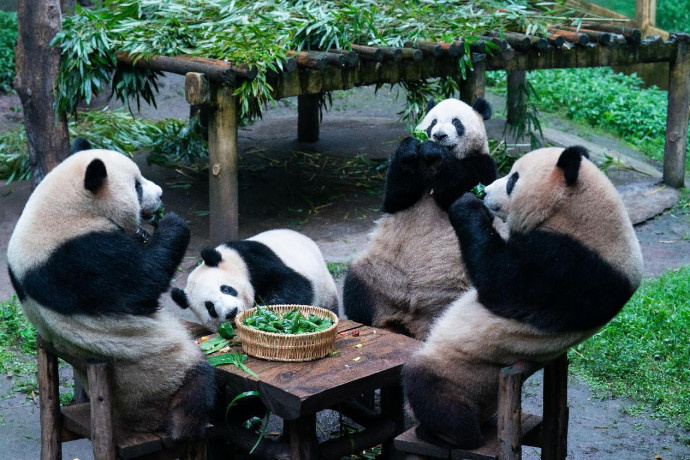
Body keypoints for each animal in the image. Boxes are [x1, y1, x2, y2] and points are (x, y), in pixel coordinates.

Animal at [6, 149, 214, 440]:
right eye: (137, 186)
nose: (161, 195)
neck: (69, 208)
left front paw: (145, 232)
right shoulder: (78, 257)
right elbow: (141, 285)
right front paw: (172, 222)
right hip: (158, 375)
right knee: (197, 385)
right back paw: (184, 427)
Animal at [172, 229, 338, 330]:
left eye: (226, 289)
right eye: (210, 308)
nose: (232, 312)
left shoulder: (252, 261)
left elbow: (294, 285)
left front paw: (263, 310)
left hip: (324, 288)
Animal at [342, 97, 494, 338]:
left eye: (456, 122)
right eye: (433, 122)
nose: (439, 136)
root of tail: (414, 320)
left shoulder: (482, 165)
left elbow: (459, 188)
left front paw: (435, 152)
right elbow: (396, 197)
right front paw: (410, 147)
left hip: (459, 286)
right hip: (378, 273)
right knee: (356, 287)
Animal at [404, 146, 640, 448]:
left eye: (513, 179)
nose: (486, 192)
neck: (579, 214)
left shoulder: (571, 267)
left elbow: (500, 283)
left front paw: (467, 205)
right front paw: (439, 165)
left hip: (467, 373)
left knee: (429, 387)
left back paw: (448, 435)